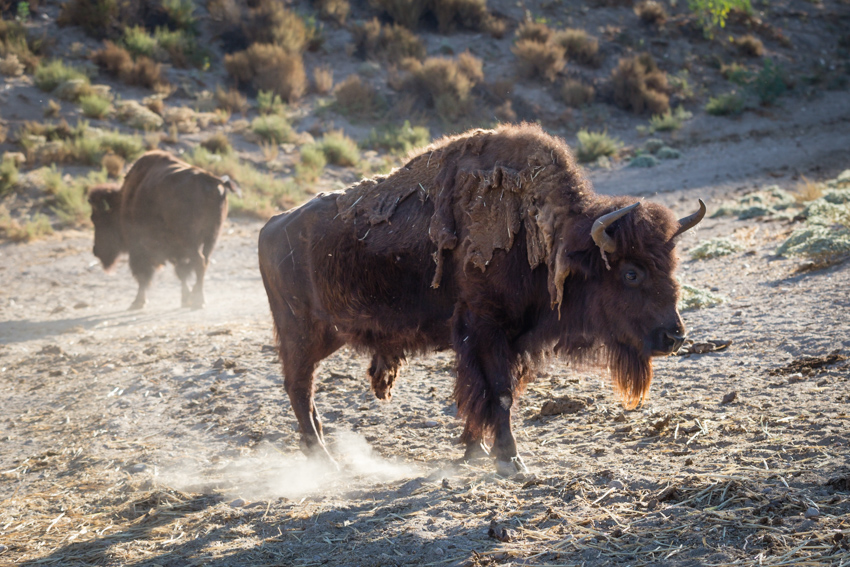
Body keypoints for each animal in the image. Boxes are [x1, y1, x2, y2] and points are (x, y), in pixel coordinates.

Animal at [88, 151, 240, 310]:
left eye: (96, 219)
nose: (96, 250)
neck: (123, 200)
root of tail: (212, 180)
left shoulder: (139, 248)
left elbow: (143, 275)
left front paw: (138, 302)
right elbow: (181, 272)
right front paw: (185, 299)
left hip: (190, 241)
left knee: (199, 262)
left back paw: (199, 300)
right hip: (212, 237)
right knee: (204, 262)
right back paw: (197, 297)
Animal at [258, 123, 704, 474]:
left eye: (672, 264)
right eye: (631, 273)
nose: (674, 336)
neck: (549, 239)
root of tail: (271, 226)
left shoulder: (507, 339)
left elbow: (483, 395)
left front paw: (475, 451)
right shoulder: (487, 330)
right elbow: (498, 393)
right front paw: (511, 461)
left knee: (303, 392)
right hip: (303, 335)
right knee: (299, 388)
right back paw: (326, 462)